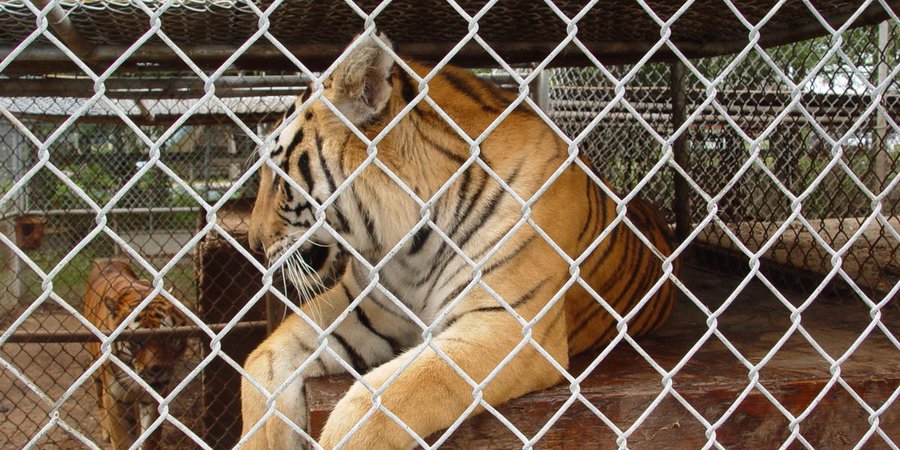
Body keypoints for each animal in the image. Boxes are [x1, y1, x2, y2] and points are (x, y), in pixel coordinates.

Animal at [82, 260, 186, 450]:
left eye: (168, 338)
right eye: (137, 342)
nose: (157, 369)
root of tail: (105, 261)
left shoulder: (154, 398)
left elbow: (150, 437)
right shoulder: (114, 398)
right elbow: (122, 439)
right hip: (96, 372)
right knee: (99, 399)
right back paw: (105, 434)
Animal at [240, 33, 678, 449]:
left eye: (279, 177)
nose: (255, 243)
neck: (407, 250)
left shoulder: (507, 323)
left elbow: (381, 402)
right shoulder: (362, 308)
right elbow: (261, 362)